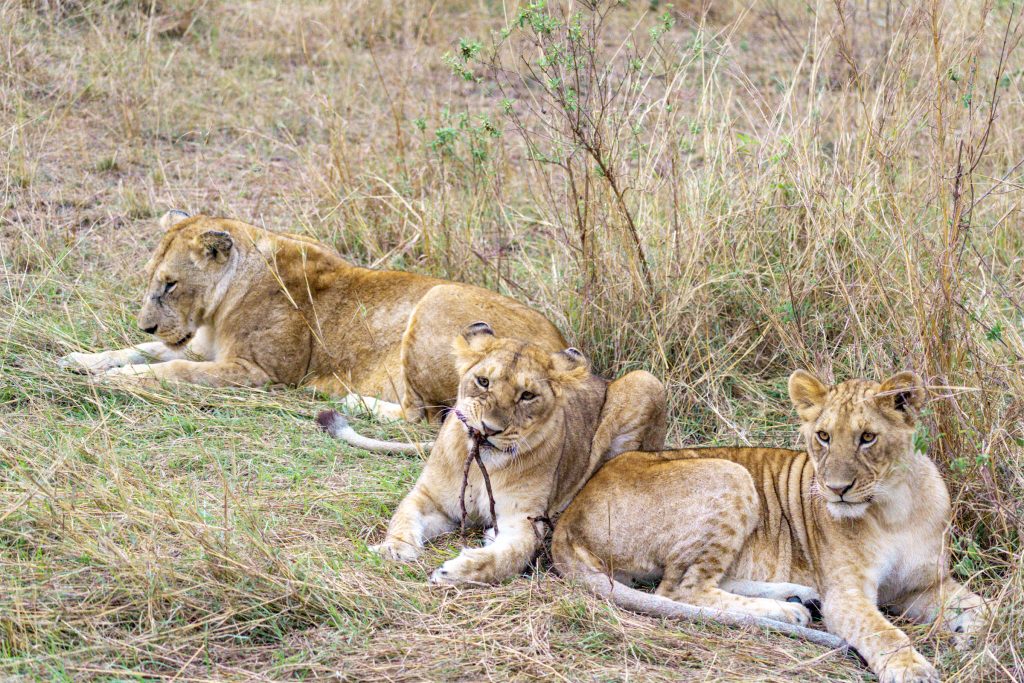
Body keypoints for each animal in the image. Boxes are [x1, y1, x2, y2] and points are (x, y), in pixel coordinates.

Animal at [59, 211, 566, 421]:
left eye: (170, 284)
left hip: (436, 301)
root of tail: (561, 350)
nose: (146, 320)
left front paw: (115, 381)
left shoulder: (259, 373)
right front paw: (81, 360)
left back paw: (352, 403)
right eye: (152, 279)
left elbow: (174, 369)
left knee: (423, 416)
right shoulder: (203, 345)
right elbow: (142, 351)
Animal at [333, 322, 667, 585]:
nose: (489, 429)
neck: (483, 467)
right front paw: (394, 549)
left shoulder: (523, 520)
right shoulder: (431, 500)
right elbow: (403, 516)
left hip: (646, 381)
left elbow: (507, 556)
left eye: (527, 395)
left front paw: (456, 571)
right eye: (483, 381)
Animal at [553, 370, 988, 683]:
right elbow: (883, 633)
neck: (893, 509)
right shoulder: (847, 595)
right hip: (731, 474)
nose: (836, 489)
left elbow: (980, 608)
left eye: (867, 437)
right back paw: (788, 612)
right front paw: (912, 669)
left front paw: (973, 640)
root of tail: (570, 515)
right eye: (823, 437)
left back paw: (799, 599)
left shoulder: (922, 585)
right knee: (680, 590)